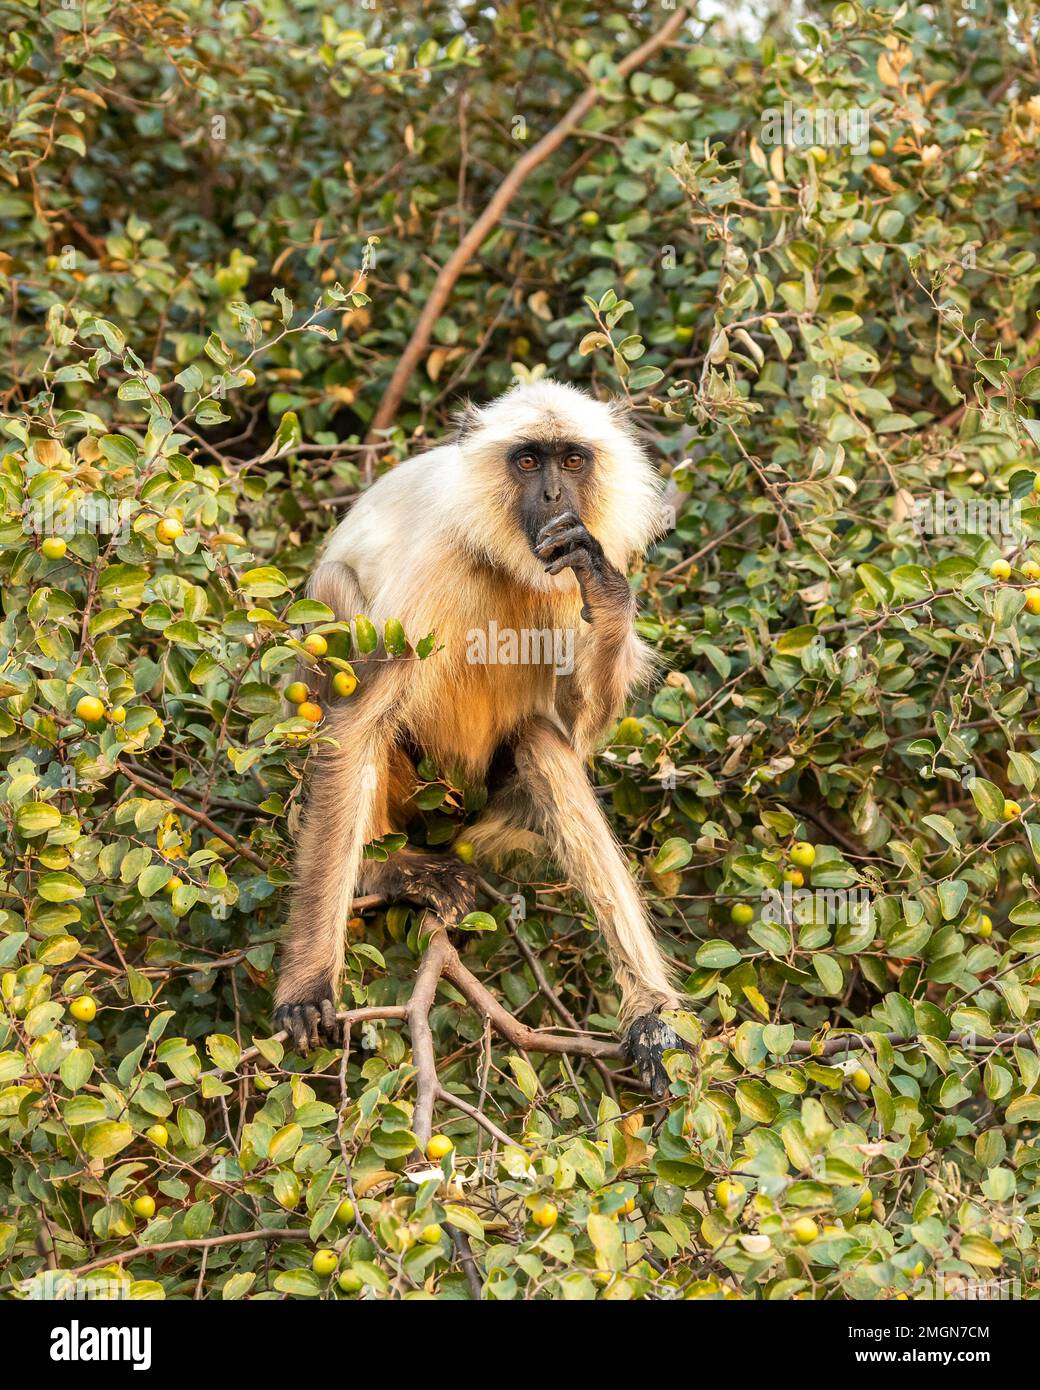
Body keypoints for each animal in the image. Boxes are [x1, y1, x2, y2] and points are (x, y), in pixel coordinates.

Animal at [272, 380, 686, 1095]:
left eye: (571, 461)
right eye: (527, 461)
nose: (552, 497)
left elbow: (577, 731)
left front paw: (606, 588)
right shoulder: (432, 565)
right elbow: (357, 727)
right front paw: (306, 984)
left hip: (494, 813)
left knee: (541, 743)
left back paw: (649, 1016)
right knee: (334, 591)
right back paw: (384, 868)